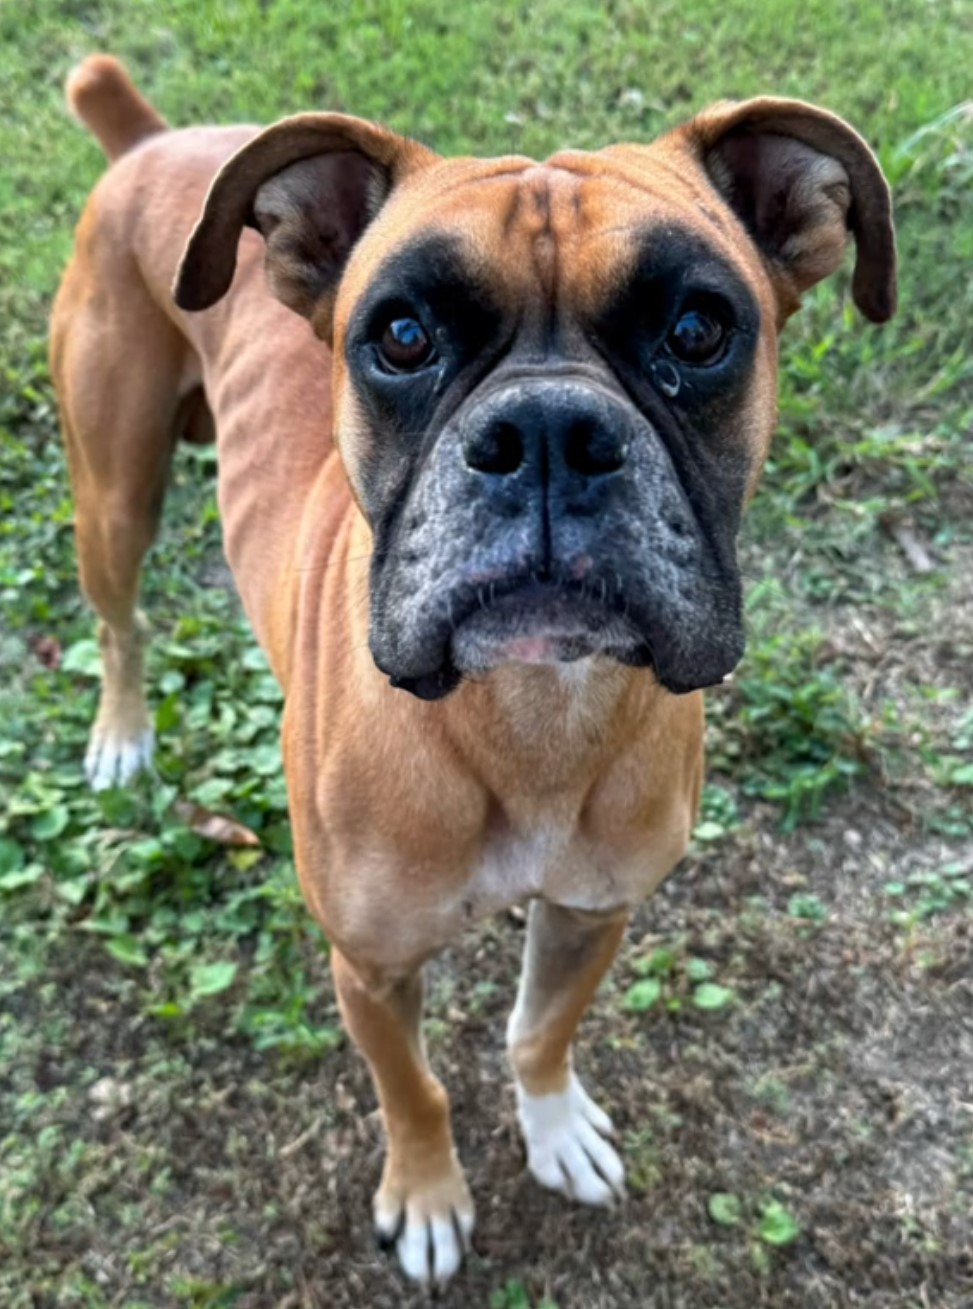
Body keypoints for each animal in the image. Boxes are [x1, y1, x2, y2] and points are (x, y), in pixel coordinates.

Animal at [49, 53, 895, 1288]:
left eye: (698, 328)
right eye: (400, 336)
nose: (545, 430)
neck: (529, 714)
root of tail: (152, 140)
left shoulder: (593, 911)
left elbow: (539, 1029)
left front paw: (553, 1127)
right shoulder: (368, 967)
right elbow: (413, 1088)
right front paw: (427, 1196)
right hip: (114, 498)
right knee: (120, 624)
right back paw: (121, 736)